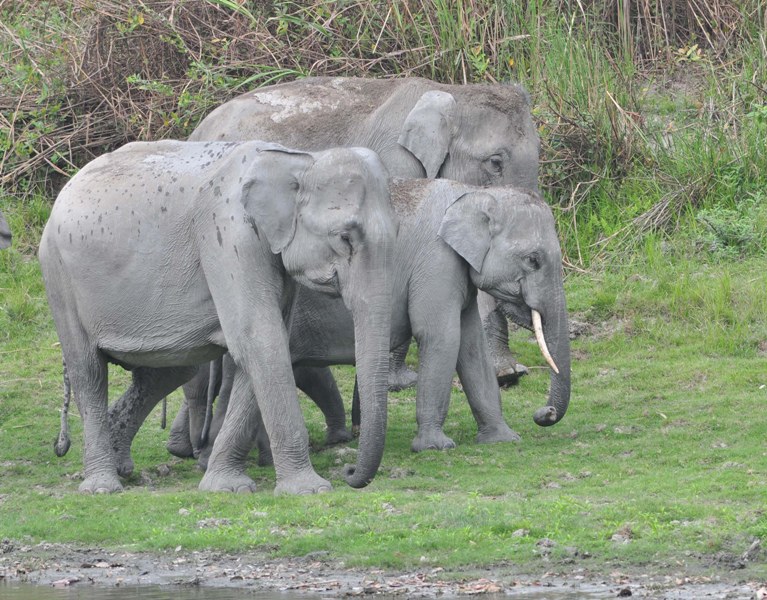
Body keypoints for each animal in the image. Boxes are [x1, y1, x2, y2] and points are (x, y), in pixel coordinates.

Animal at [40, 139, 397, 494]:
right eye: (345, 237)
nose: (350, 473)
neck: (299, 159)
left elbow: (264, 343)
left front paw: (226, 486)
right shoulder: (228, 235)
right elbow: (260, 339)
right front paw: (309, 490)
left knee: (166, 371)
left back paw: (122, 467)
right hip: (59, 277)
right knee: (88, 371)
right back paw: (102, 486)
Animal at [171, 179, 571, 464]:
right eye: (533, 260)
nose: (544, 413)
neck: (474, 193)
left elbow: (471, 349)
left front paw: (502, 439)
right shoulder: (435, 262)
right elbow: (440, 337)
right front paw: (435, 447)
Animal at [189, 76, 540, 391]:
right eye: (495, 162)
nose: (513, 377)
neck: (454, 92)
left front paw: (507, 373)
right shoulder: (397, 164)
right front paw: (401, 382)